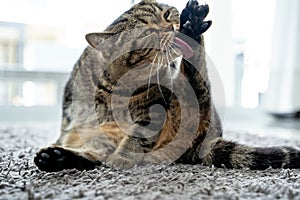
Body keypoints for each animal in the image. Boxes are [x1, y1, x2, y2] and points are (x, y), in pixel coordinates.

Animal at [34, 0, 298, 172]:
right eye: (148, 32)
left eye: (167, 14)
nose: (172, 25)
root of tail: (203, 143)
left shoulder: (151, 113)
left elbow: (136, 139)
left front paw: (122, 158)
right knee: (94, 155)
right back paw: (55, 157)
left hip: (191, 101)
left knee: (198, 76)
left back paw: (193, 26)